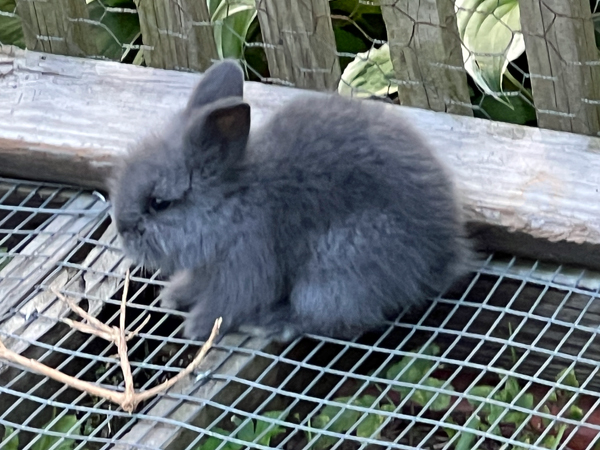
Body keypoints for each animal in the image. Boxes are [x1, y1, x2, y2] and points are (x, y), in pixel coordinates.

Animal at [110, 59, 472, 342]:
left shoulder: (245, 267)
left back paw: (270, 324)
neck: (230, 204)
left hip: (334, 271)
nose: (123, 232)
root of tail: (443, 258)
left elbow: (225, 305)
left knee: (332, 319)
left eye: (159, 203)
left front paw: (196, 327)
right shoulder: (207, 269)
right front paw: (172, 297)